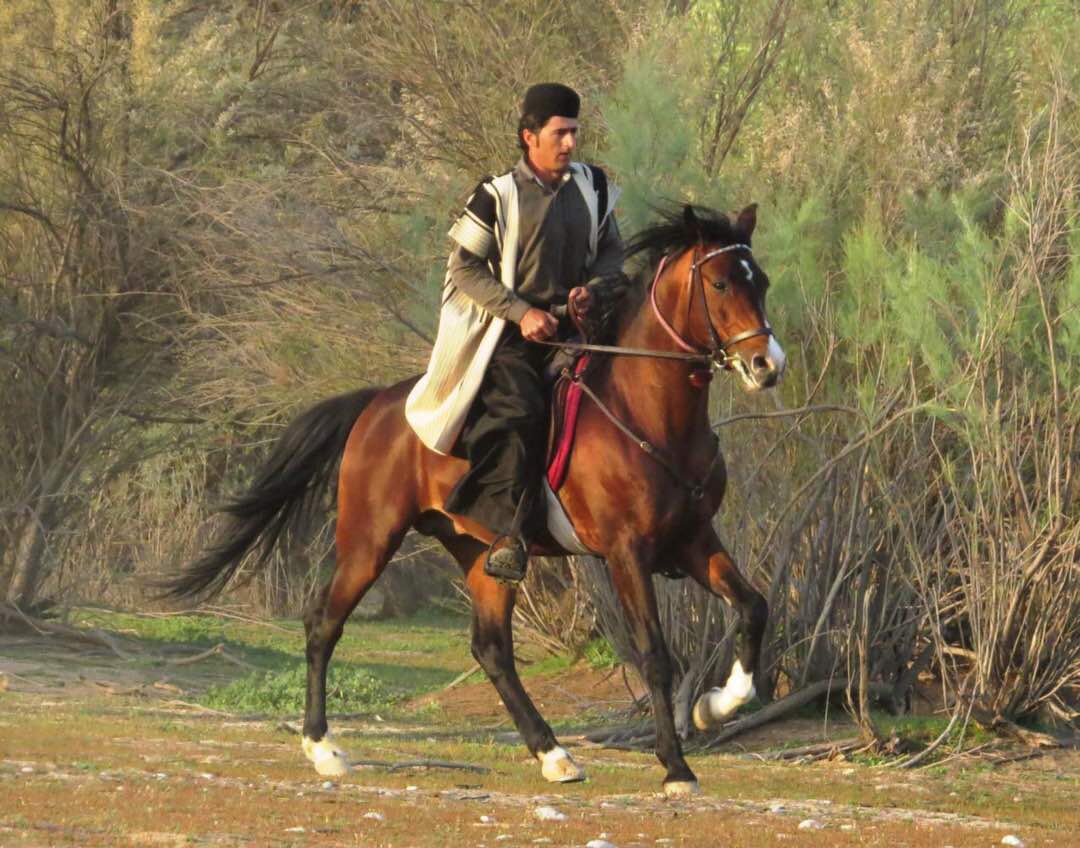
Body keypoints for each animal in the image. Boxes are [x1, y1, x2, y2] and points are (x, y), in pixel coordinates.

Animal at [160, 203, 785, 797]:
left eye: (762, 281)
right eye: (721, 284)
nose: (767, 365)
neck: (648, 412)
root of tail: (379, 406)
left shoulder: (693, 540)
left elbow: (754, 607)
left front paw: (716, 705)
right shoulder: (625, 553)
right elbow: (655, 655)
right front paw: (676, 768)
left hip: (481, 553)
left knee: (491, 650)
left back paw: (553, 755)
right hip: (369, 541)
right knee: (324, 624)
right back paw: (324, 749)